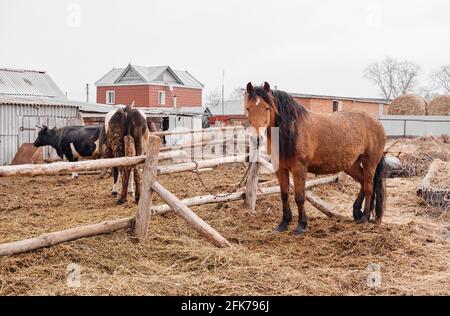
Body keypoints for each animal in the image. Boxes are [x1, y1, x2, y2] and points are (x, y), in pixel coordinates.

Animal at [244, 82, 388, 236]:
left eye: (267, 108)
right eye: (248, 108)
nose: (256, 139)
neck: (291, 131)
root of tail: (377, 124)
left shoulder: (299, 168)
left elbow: (299, 197)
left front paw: (301, 225)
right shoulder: (280, 169)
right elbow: (284, 195)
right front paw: (283, 223)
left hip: (370, 163)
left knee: (369, 187)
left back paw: (365, 218)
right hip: (352, 165)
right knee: (363, 182)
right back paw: (357, 213)